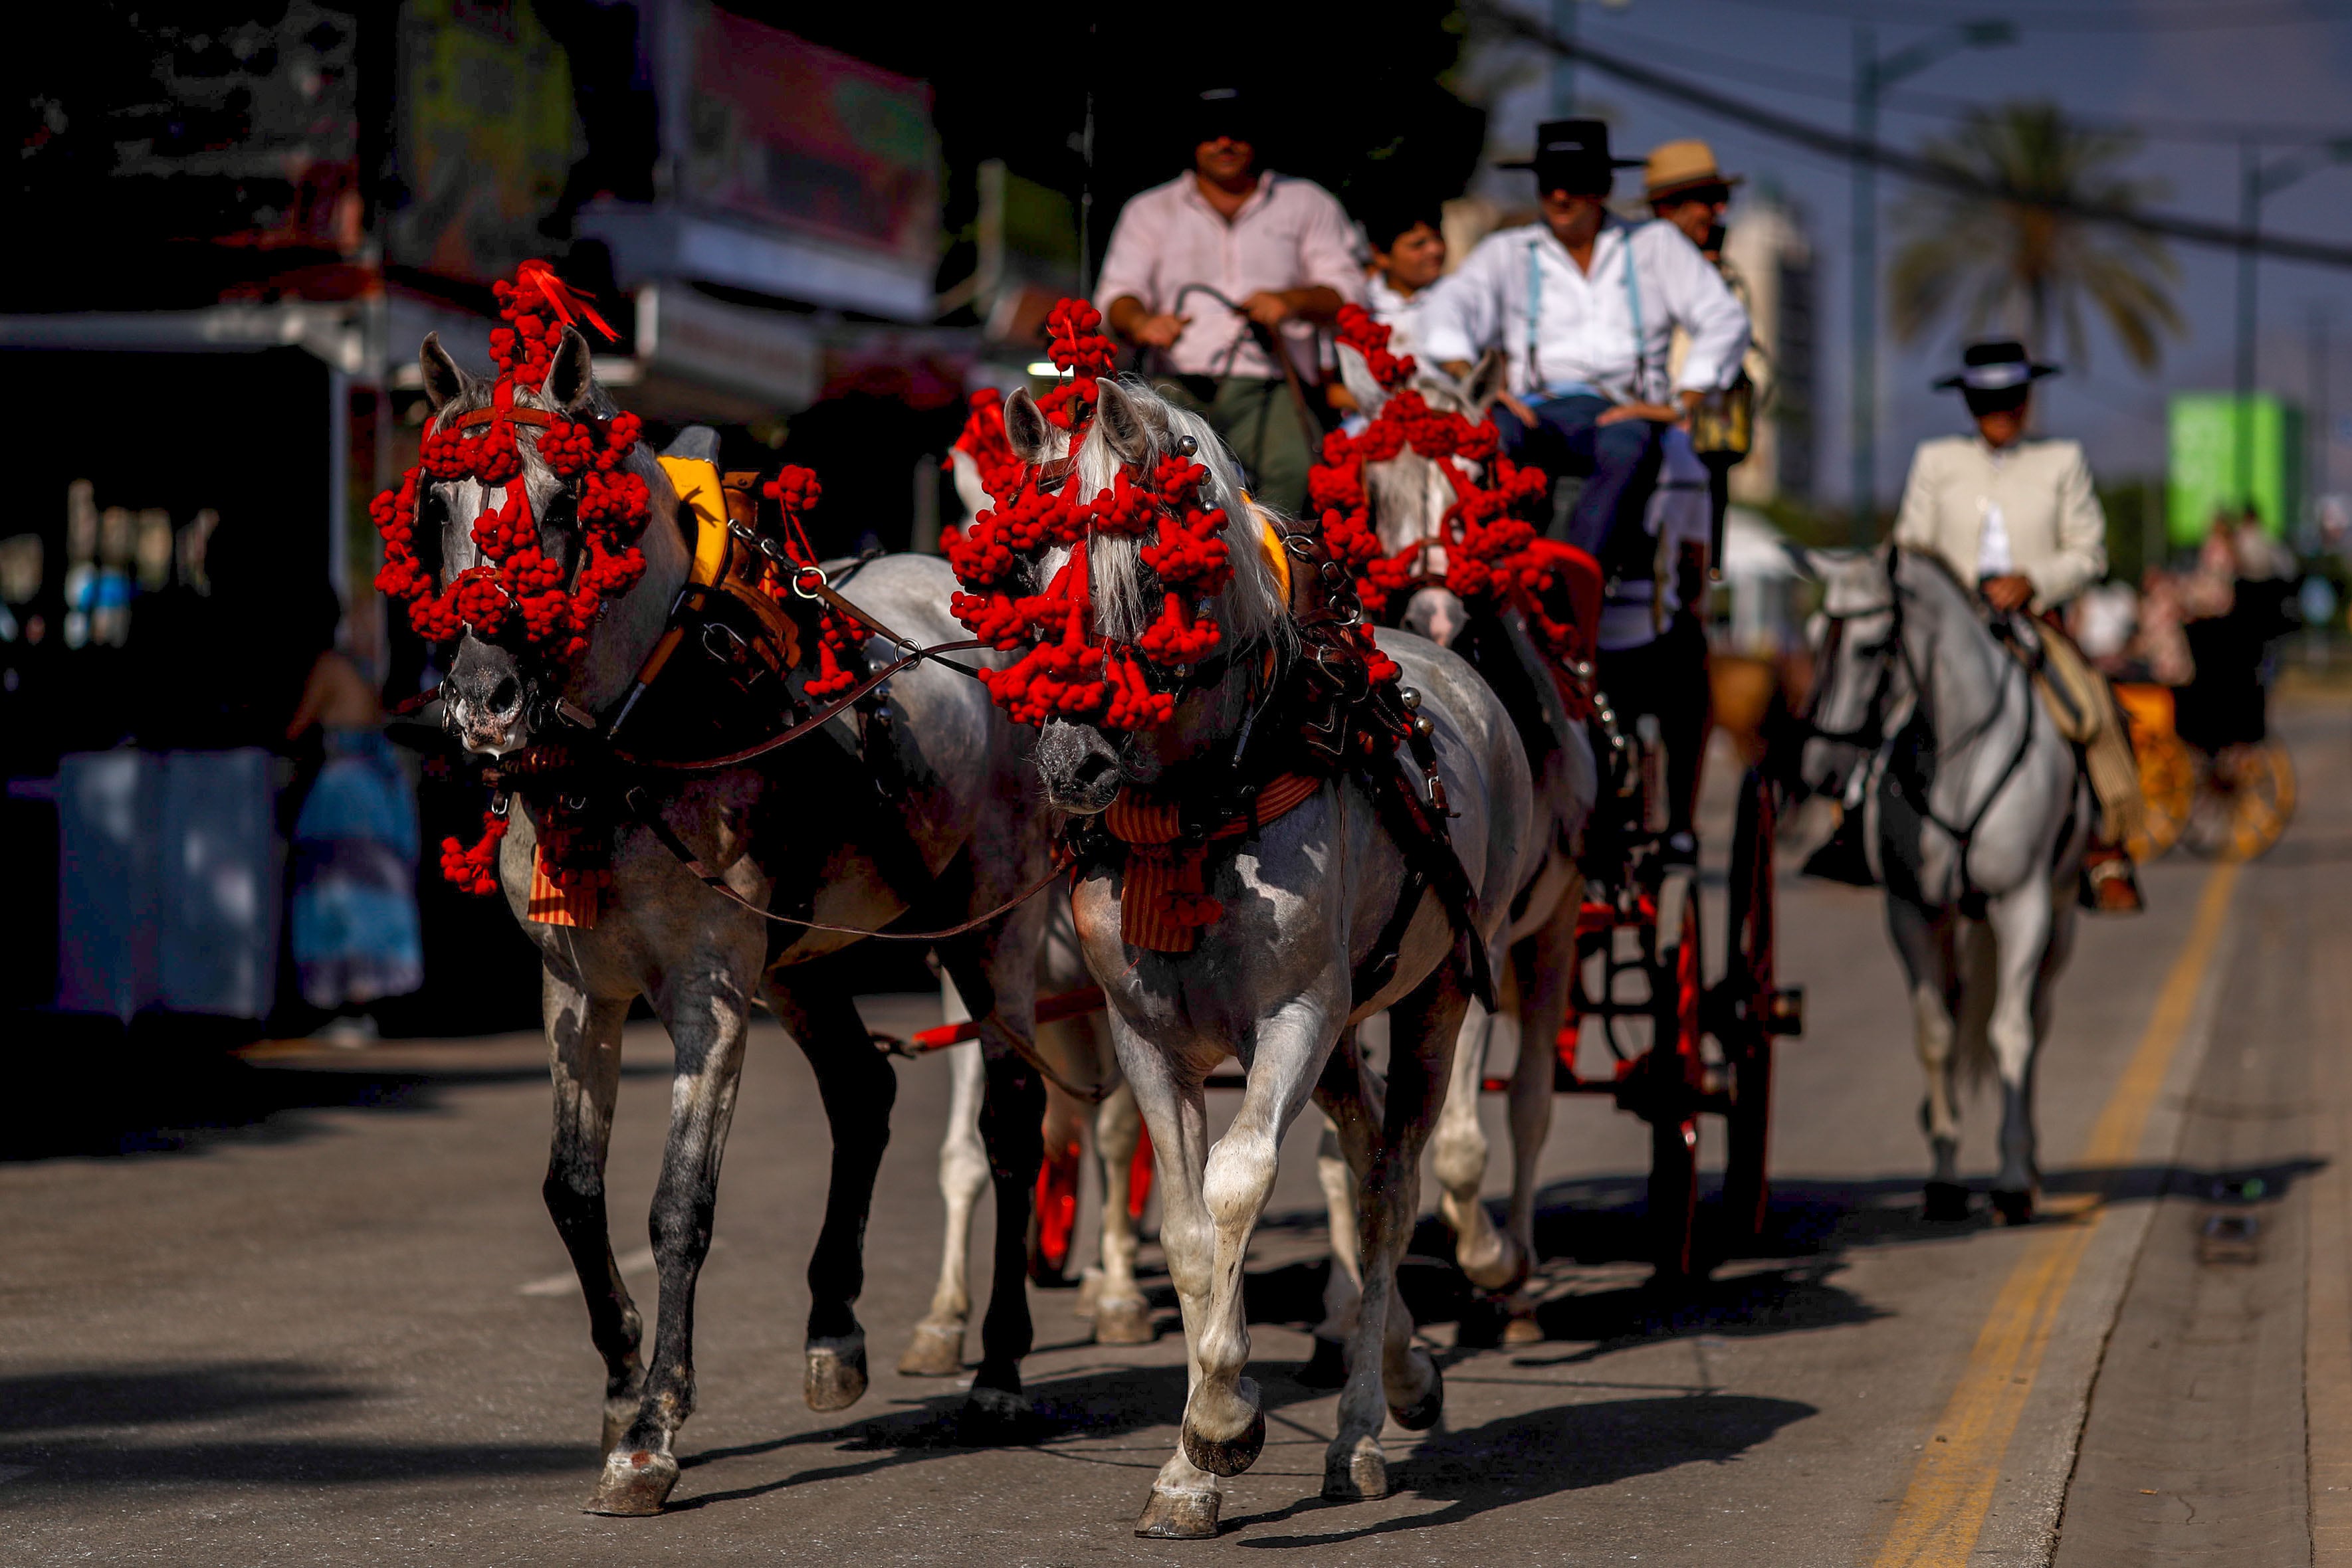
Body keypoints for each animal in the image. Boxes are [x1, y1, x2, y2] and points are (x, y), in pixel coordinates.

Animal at [418, 324, 1053, 1514]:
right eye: (436, 503)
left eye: (566, 505)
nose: (484, 700)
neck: (630, 740)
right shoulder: (576, 988)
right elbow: (572, 1194)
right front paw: (622, 1382)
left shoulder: (707, 992)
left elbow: (678, 1205)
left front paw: (651, 1432)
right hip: (801, 963)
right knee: (862, 1092)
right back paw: (834, 1330)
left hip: (993, 930)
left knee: (1012, 1120)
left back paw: (996, 1368)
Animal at [1020, 376, 1571, 1532]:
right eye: (1033, 584)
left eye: (1148, 575)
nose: (1068, 763)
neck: (1201, 808)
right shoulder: (1147, 1040)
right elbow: (1186, 1231)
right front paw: (1187, 1466)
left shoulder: (1294, 1015)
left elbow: (1237, 1183)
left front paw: (1226, 1423)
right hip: (1349, 1027)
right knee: (1360, 1163)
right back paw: (1400, 1368)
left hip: (1442, 983)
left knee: (1396, 1184)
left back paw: (1360, 1430)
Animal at [1796, 545, 2097, 1222]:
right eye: (1814, 637)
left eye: (1871, 647)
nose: (1819, 770)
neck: (1960, 759)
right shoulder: (1911, 912)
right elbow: (1935, 1037)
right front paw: (1941, 1176)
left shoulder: (2022, 905)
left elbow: (2010, 1034)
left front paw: (2010, 1180)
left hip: (2060, 919)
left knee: (2033, 1021)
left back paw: (2029, 1166)